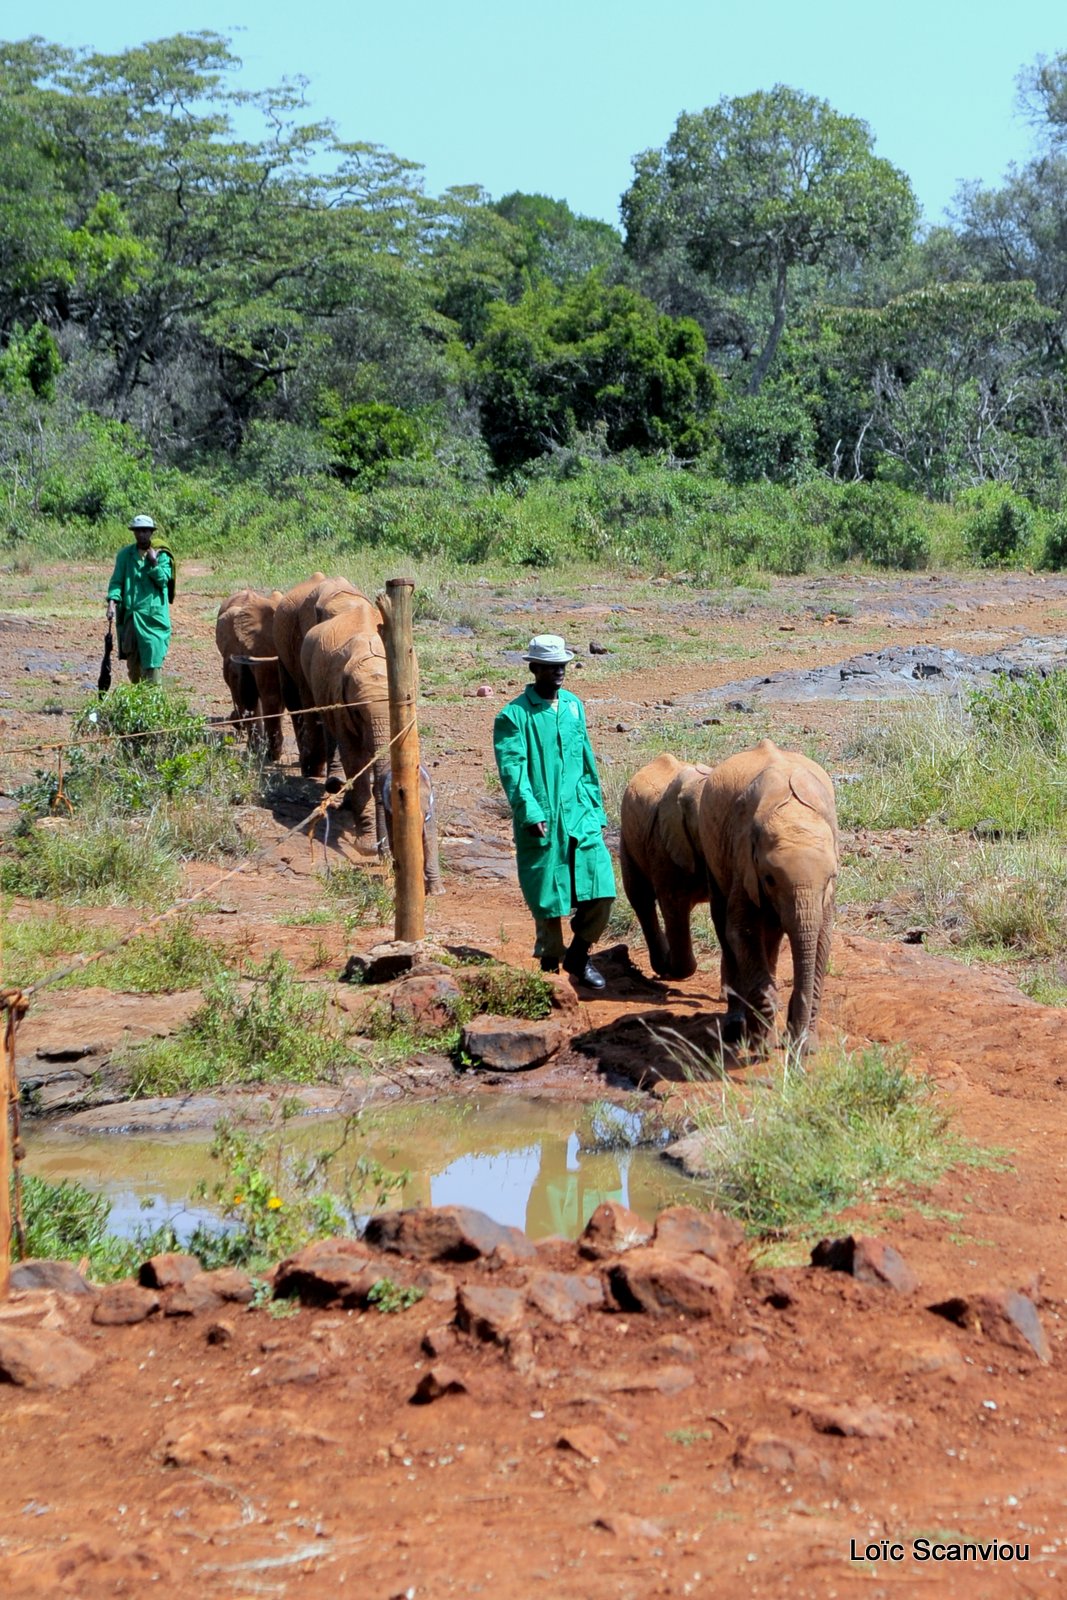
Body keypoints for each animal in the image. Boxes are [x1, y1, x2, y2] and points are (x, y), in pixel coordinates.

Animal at [617, 752, 710, 985]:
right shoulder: (662, 842)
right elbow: (672, 902)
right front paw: (673, 968)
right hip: (628, 840)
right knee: (641, 898)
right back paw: (663, 965)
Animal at [700, 742, 844, 1056]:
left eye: (830, 878)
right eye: (769, 879)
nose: (795, 1043)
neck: (794, 814)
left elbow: (821, 938)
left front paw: (806, 1046)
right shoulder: (743, 857)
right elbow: (740, 932)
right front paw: (763, 1040)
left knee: (773, 935)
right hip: (712, 850)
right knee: (723, 923)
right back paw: (736, 1027)